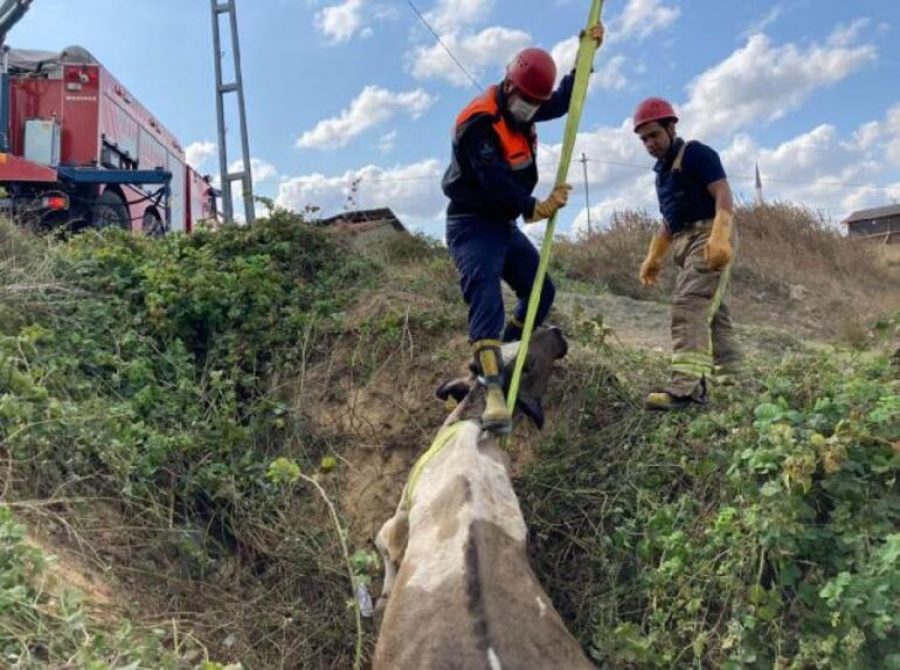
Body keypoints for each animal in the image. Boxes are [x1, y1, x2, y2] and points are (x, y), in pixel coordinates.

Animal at [370, 328, 596, 668]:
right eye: (515, 346)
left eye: (530, 364)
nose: (556, 331)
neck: (476, 424)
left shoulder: (401, 513)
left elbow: (385, 544)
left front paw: (382, 600)